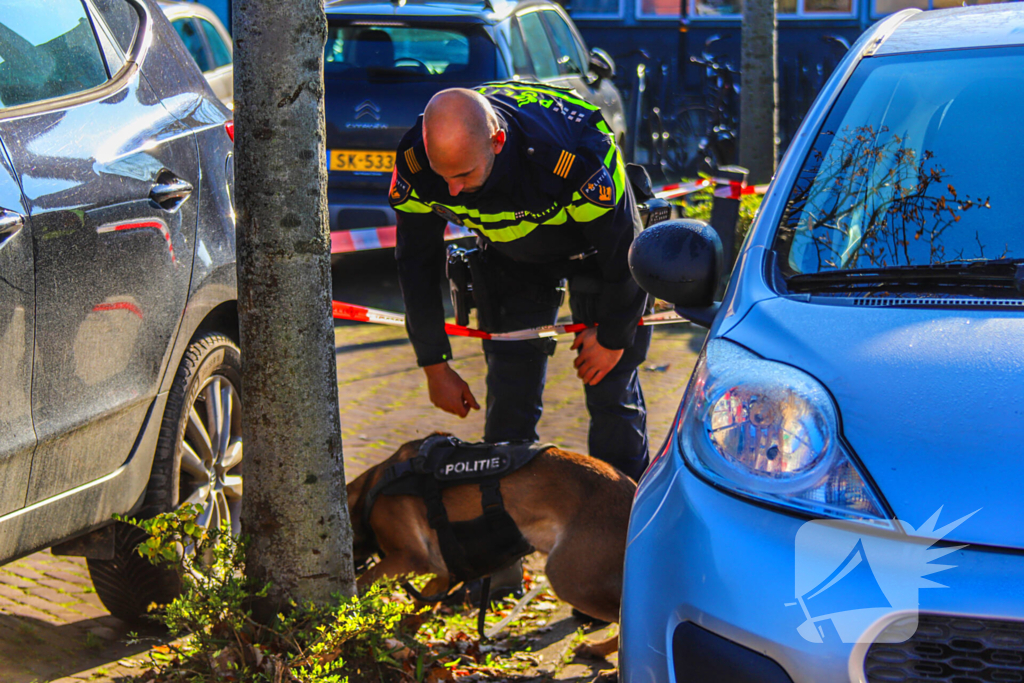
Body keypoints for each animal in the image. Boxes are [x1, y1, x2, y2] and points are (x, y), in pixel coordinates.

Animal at [348, 436, 634, 659]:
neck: (370, 488)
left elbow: (361, 586)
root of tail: (632, 490)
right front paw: (402, 634)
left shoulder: (410, 558)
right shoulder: (444, 571)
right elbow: (421, 607)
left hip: (568, 578)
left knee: (626, 618)